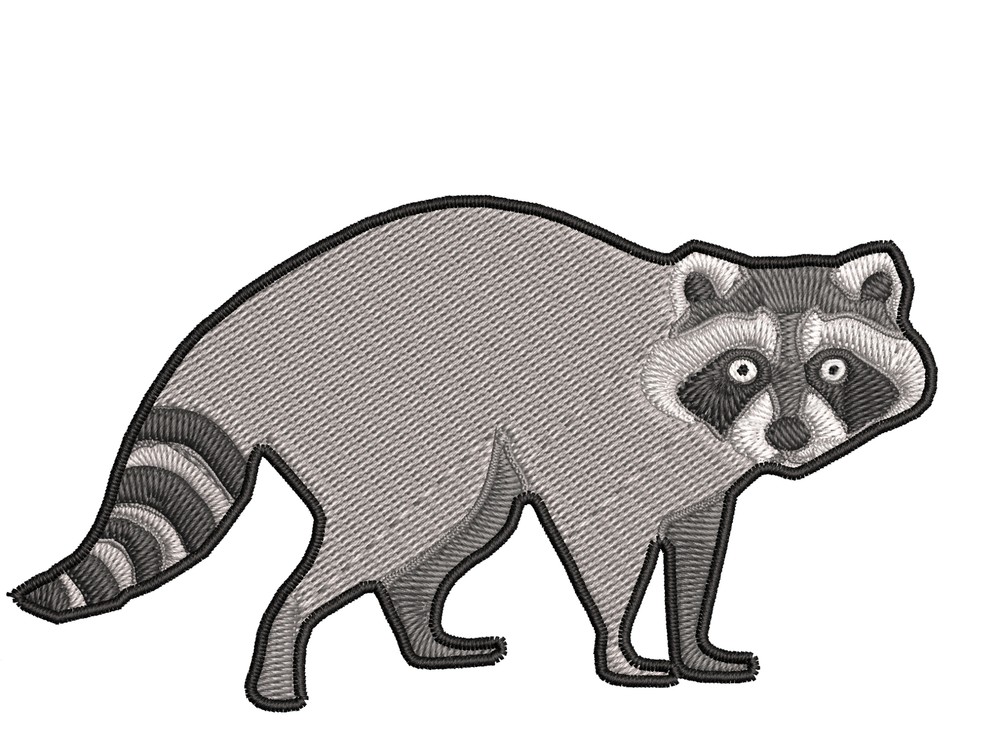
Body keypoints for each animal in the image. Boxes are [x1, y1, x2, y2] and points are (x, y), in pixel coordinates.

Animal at [11, 197, 935, 711]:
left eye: (833, 368)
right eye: (744, 368)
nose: (788, 437)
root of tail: (245, 320)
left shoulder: (706, 475)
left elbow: (699, 551)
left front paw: (696, 643)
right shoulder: (601, 433)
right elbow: (601, 547)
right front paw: (621, 651)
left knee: (460, 529)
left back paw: (423, 633)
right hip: (392, 422)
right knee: (398, 528)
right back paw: (279, 663)